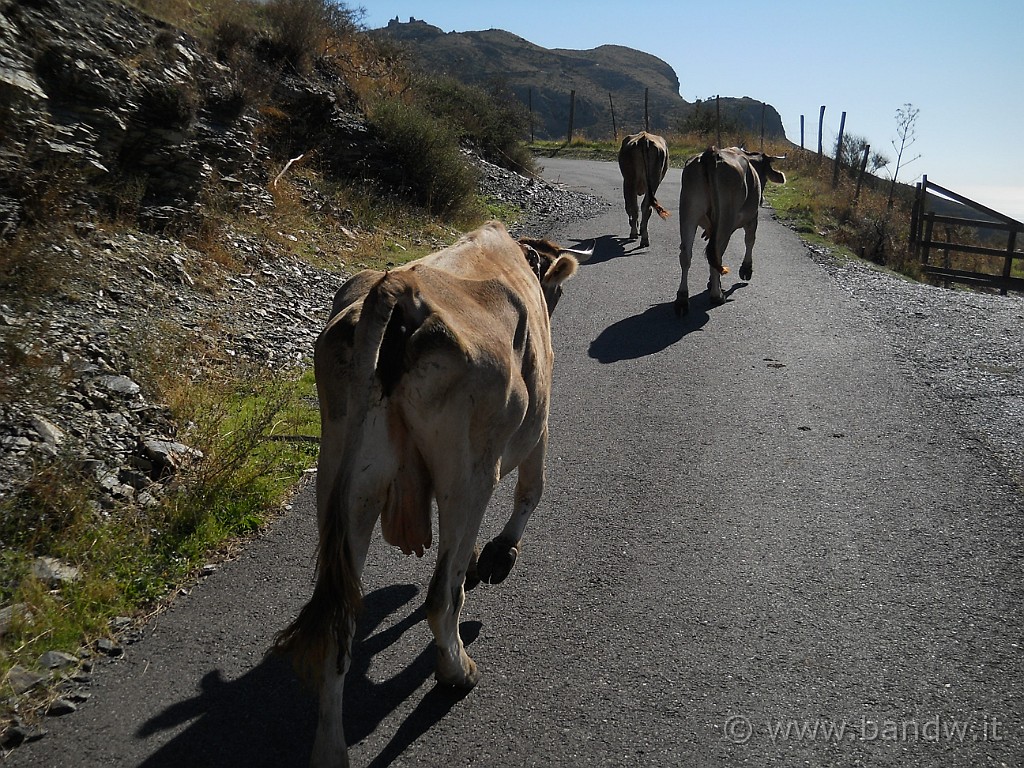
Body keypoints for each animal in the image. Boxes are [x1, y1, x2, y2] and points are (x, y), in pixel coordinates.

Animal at [276, 221, 589, 768]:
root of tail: (397, 291)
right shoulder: (540, 419)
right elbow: (532, 490)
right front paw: (501, 553)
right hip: (470, 476)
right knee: (443, 594)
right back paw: (457, 670)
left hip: (342, 479)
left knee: (340, 622)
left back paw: (331, 749)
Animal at [675, 147, 786, 315]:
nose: (762, 199)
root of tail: (712, 153)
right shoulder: (753, 218)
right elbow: (750, 240)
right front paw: (746, 269)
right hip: (725, 220)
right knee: (715, 253)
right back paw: (716, 295)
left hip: (689, 210)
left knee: (687, 254)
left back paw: (682, 299)